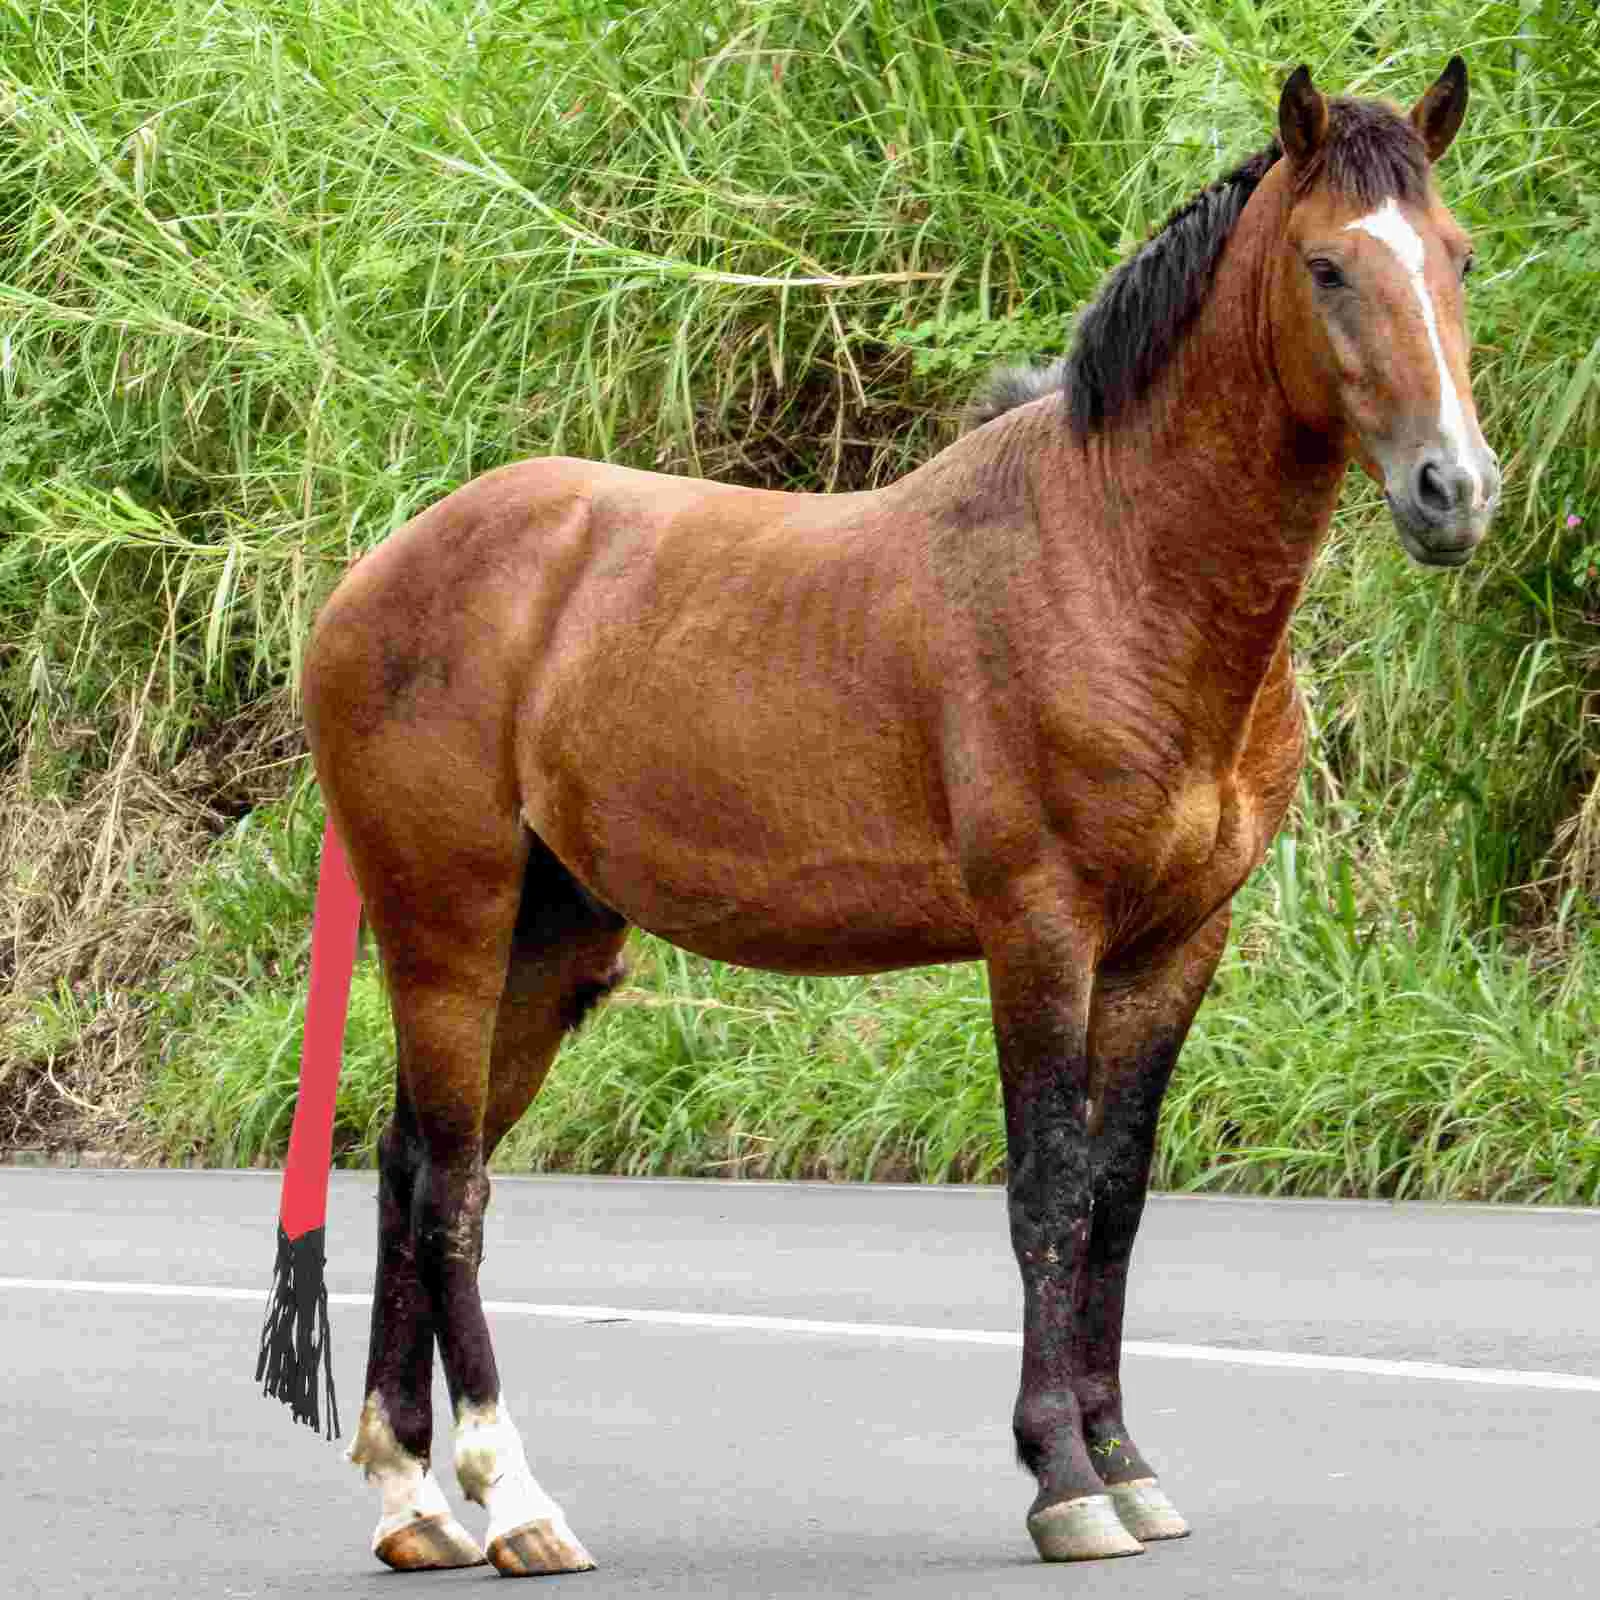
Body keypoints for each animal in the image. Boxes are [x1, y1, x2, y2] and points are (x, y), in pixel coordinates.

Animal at [302, 59, 1497, 1574]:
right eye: (1327, 264)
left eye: (1456, 255)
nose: (1454, 490)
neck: (1116, 561)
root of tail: (370, 580)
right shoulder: (1040, 930)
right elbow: (1046, 1190)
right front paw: (1062, 1482)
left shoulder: (1177, 944)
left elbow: (1114, 1198)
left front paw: (1125, 1463)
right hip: (448, 930)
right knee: (450, 1188)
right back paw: (513, 1498)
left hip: (548, 944)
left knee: (409, 1168)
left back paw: (413, 1501)